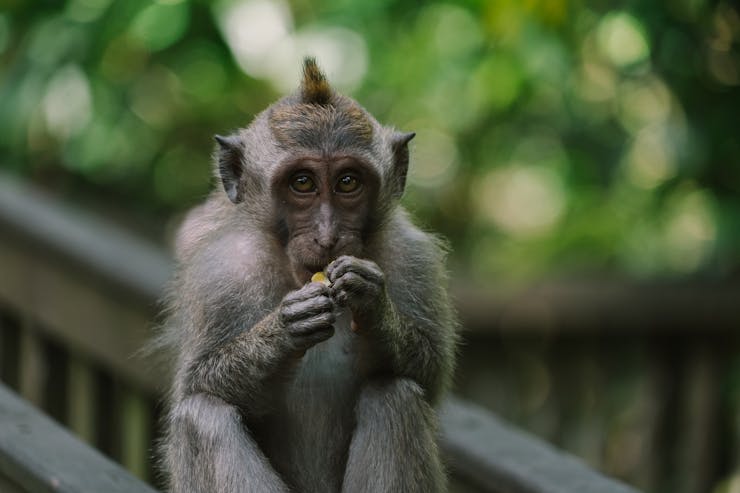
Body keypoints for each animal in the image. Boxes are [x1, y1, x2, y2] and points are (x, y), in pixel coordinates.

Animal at [159, 58, 460, 492]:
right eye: (302, 182)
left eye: (348, 182)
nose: (327, 235)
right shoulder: (218, 273)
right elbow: (196, 384)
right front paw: (284, 329)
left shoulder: (414, 258)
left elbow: (430, 375)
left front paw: (374, 305)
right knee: (201, 415)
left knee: (394, 396)